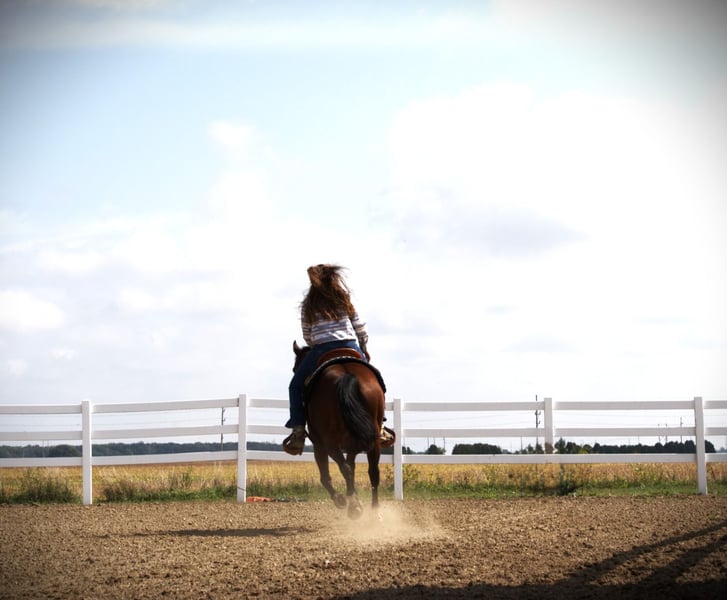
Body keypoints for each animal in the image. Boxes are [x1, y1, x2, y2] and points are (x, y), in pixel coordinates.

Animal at [292, 340, 387, 519]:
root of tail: (347, 374)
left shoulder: (318, 444)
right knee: (373, 472)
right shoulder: (352, 446)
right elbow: (352, 466)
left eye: (295, 369)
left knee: (345, 470)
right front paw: (353, 496)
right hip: (372, 439)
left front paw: (342, 499)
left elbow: (326, 476)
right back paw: (374, 512)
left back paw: (352, 506)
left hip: (328, 443)